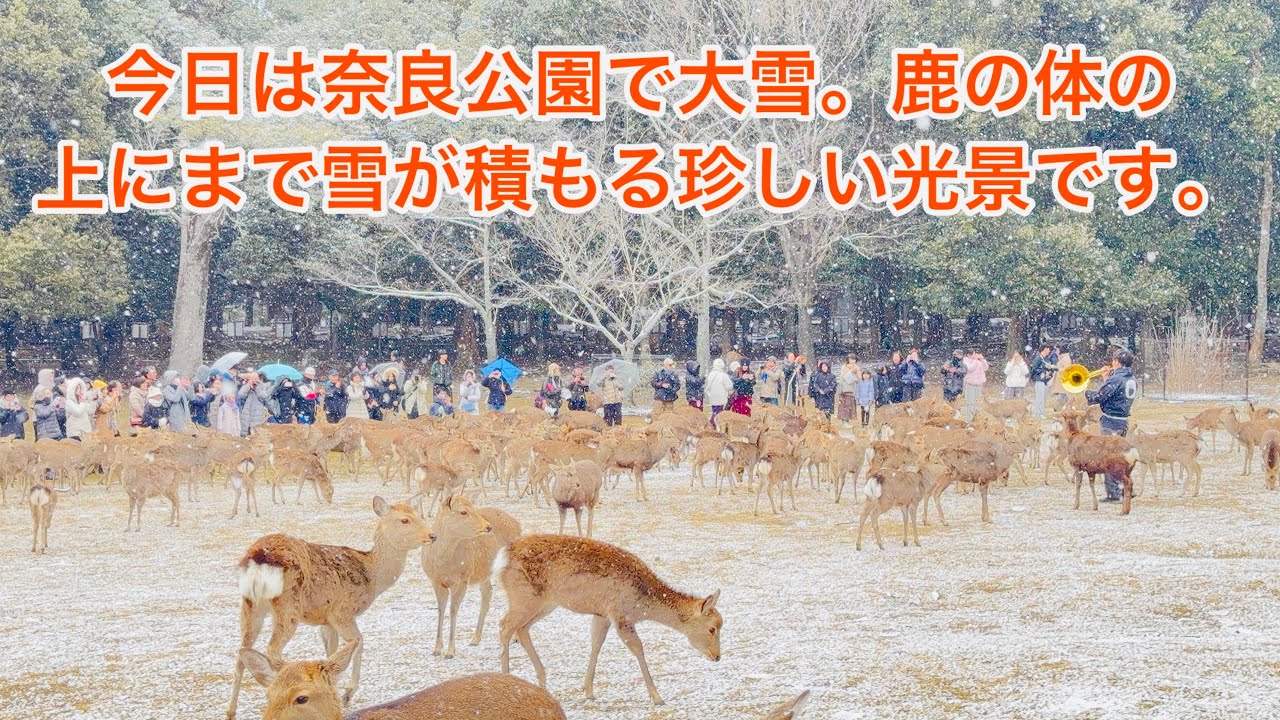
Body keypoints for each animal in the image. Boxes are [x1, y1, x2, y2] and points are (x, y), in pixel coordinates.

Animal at [226, 497, 433, 720]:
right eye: (405, 520)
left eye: (419, 514)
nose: (432, 535)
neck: (373, 577)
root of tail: (258, 558)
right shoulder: (342, 612)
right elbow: (358, 641)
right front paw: (347, 694)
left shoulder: (325, 620)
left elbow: (331, 651)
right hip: (288, 606)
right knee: (272, 649)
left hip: (250, 605)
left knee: (242, 650)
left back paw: (231, 710)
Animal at [420, 494, 520, 659]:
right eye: (463, 512)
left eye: (473, 507)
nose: (488, 526)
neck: (443, 563)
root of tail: (518, 523)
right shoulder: (435, 581)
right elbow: (440, 610)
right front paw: (436, 649)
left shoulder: (462, 579)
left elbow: (453, 610)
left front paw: (450, 651)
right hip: (484, 572)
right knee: (487, 592)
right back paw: (475, 638)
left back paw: (516, 637)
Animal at [496, 534, 722, 705]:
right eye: (712, 628)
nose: (717, 656)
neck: (642, 606)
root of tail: (502, 556)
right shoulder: (620, 615)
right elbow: (638, 649)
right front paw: (657, 697)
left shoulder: (602, 614)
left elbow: (596, 645)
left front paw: (588, 691)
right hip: (523, 598)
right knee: (504, 626)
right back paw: (507, 680)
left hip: (544, 603)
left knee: (521, 629)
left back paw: (543, 682)